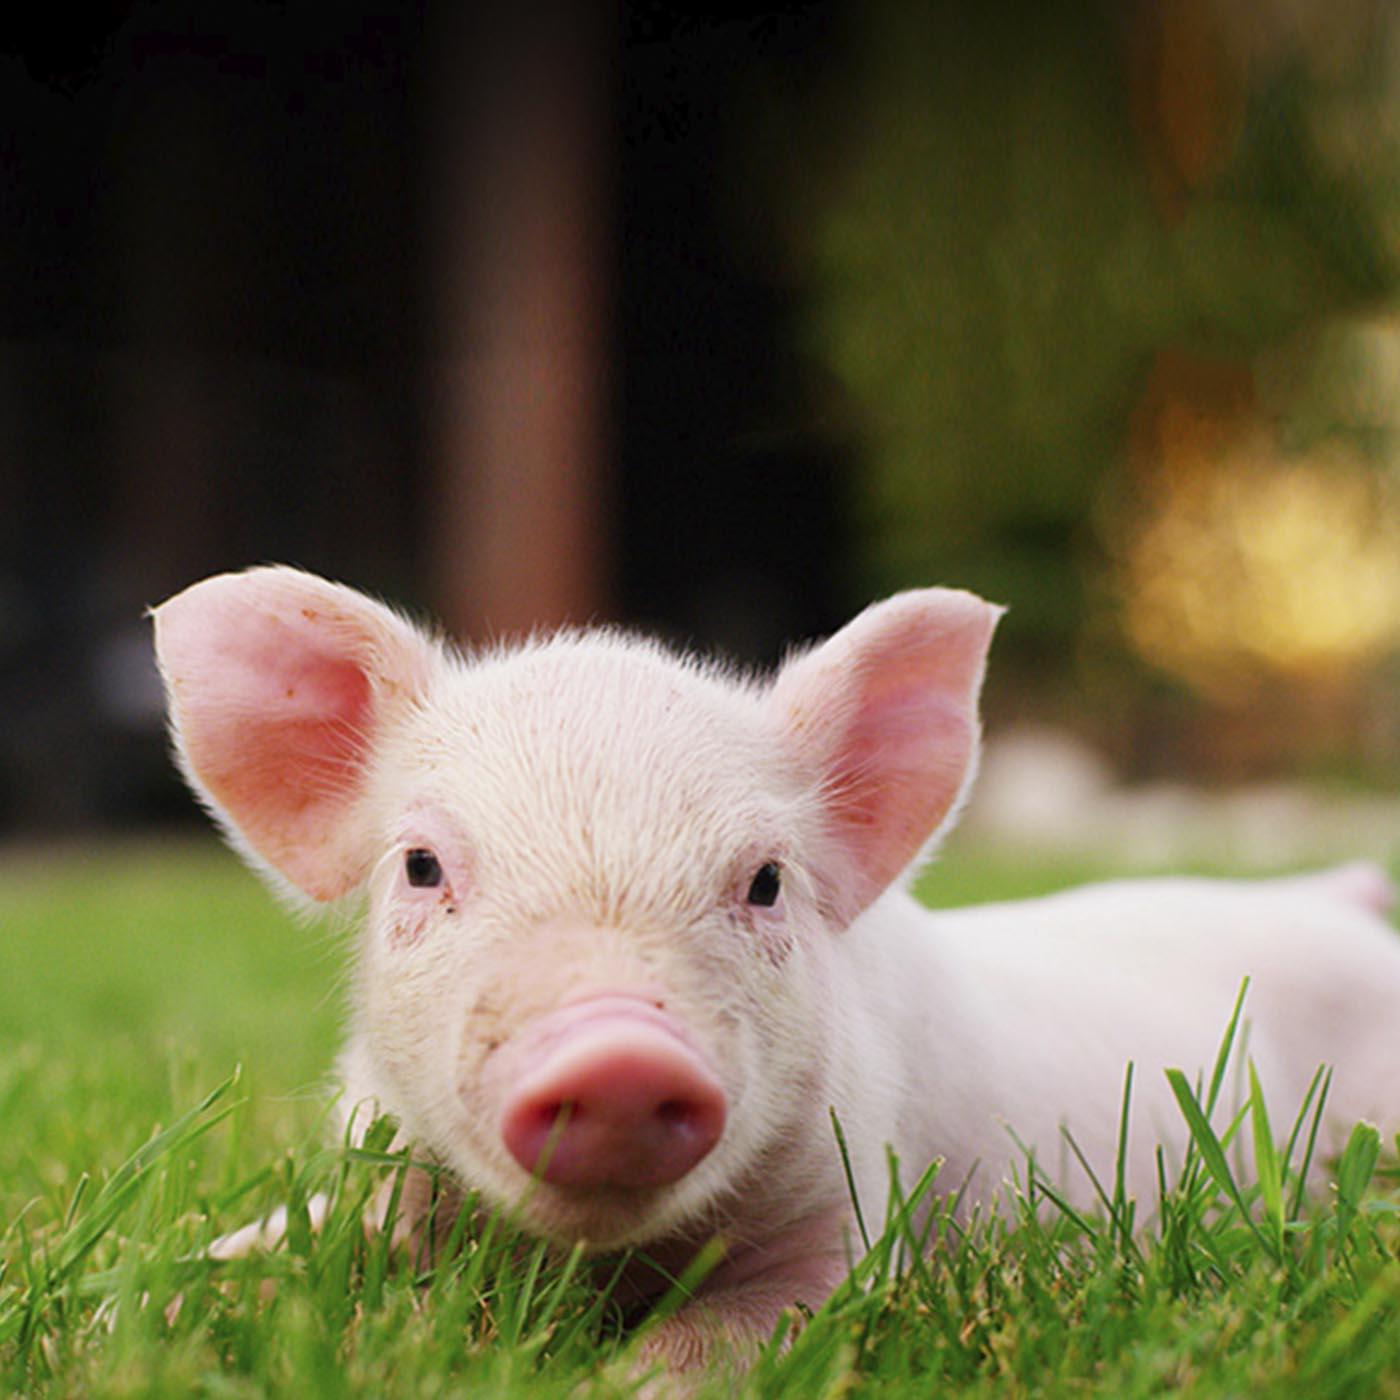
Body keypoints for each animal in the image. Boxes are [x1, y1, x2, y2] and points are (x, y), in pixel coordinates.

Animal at [150, 565, 1400, 1366]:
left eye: (762, 881)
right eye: (419, 865)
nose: (615, 1049)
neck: (602, 1262)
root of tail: (1330, 895)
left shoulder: (850, 1209)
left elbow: (726, 1338)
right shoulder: (386, 1167)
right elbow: (277, 1243)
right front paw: (167, 1300)